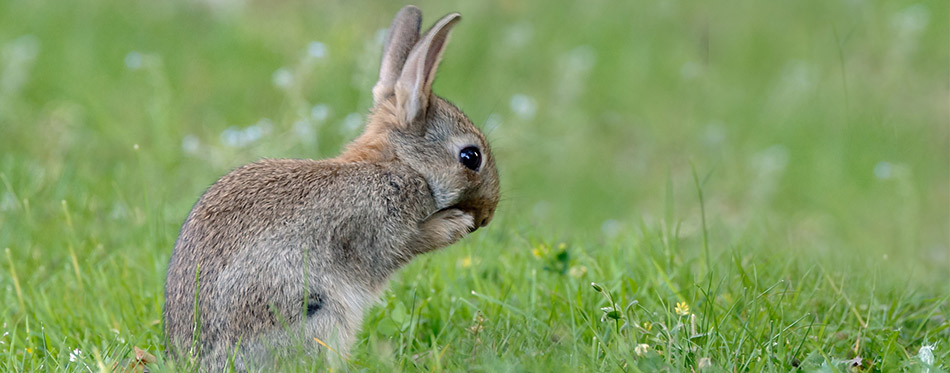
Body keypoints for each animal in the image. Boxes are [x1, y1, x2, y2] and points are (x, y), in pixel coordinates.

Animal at [165, 5, 502, 370]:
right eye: (471, 157)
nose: (486, 216)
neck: (399, 165)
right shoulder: (379, 229)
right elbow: (410, 242)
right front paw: (456, 224)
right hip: (315, 312)